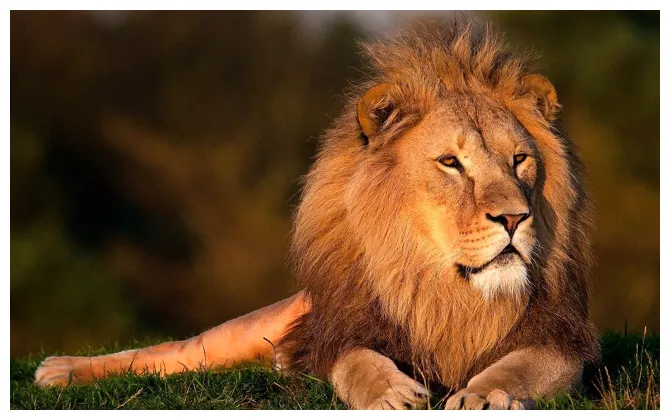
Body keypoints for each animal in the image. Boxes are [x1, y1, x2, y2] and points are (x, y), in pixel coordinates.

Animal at [34, 21, 600, 410]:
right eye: (450, 163)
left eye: (519, 159)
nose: (515, 219)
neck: (444, 292)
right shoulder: (340, 334)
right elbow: (357, 362)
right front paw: (391, 392)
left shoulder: (561, 340)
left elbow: (521, 367)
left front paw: (484, 395)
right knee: (175, 352)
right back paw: (58, 371)